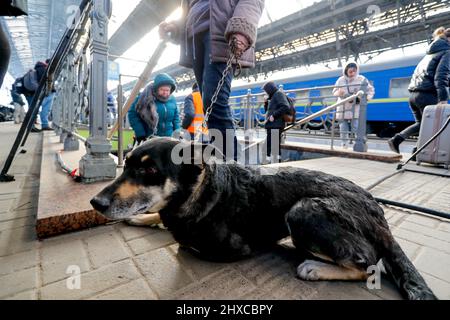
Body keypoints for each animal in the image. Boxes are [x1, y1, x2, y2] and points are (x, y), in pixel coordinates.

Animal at [89, 138, 438, 300]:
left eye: (149, 170)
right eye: (126, 165)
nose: (95, 202)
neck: (205, 190)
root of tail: (376, 210)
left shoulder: (228, 248)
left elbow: (183, 242)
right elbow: (161, 220)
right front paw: (146, 218)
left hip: (302, 211)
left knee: (369, 263)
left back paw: (315, 267)